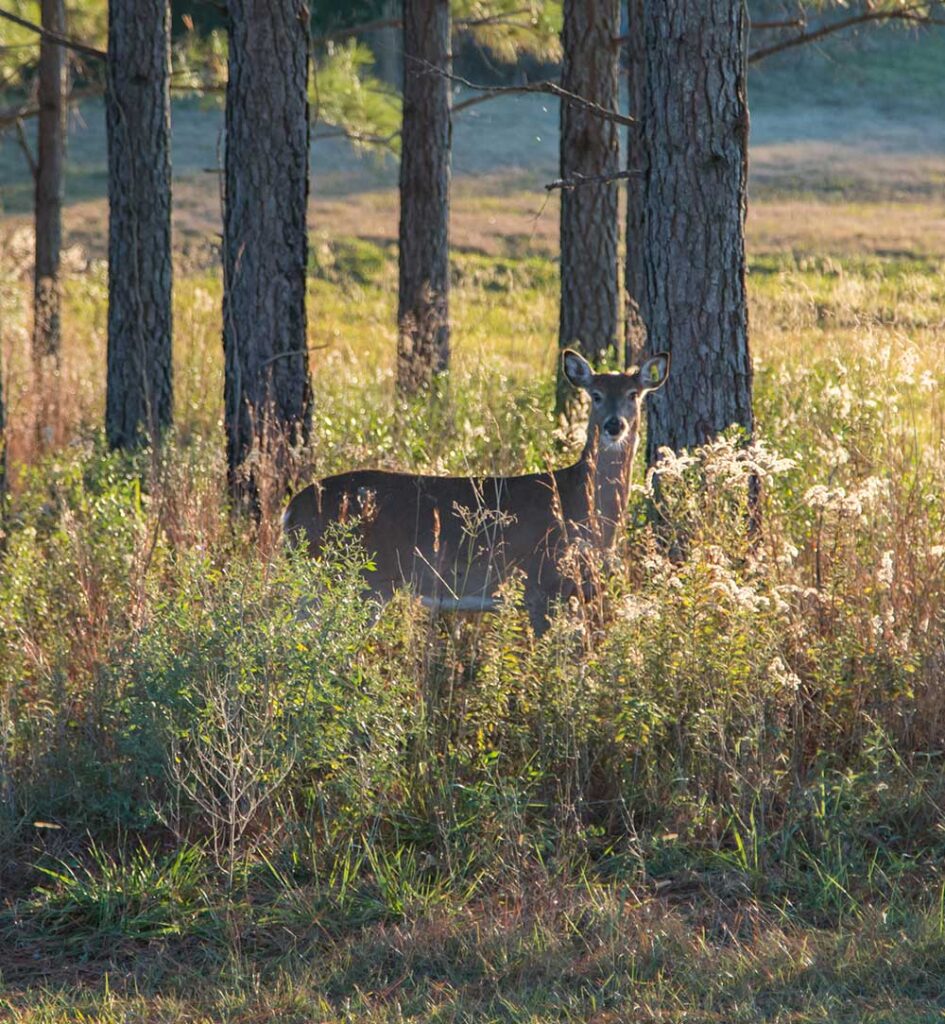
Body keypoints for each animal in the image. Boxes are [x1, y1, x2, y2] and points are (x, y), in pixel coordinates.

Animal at [282, 348, 671, 630]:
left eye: (633, 394)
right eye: (596, 394)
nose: (614, 425)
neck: (581, 507)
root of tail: (291, 510)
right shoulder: (543, 585)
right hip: (355, 579)